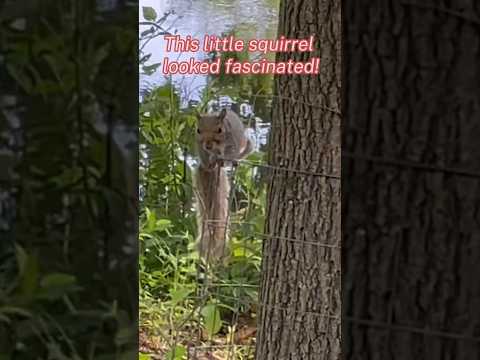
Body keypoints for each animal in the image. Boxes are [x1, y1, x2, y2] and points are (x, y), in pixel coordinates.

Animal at [195, 108, 255, 262]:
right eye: (198, 130)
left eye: (219, 130)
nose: (208, 145)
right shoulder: (200, 147)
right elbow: (204, 156)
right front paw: (208, 163)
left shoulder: (231, 142)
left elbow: (229, 152)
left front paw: (222, 158)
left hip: (244, 145)